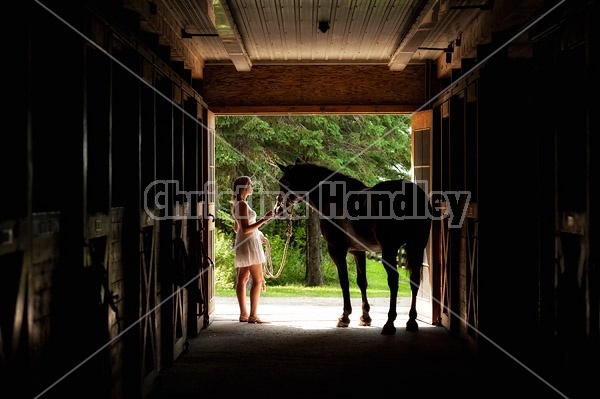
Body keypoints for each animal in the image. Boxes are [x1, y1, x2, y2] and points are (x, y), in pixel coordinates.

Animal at [276, 161, 432, 336]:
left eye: (284, 182)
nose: (278, 210)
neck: (334, 199)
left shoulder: (337, 250)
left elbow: (344, 282)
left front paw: (344, 317)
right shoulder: (358, 251)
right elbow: (361, 282)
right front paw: (365, 317)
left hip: (390, 250)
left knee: (394, 281)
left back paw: (389, 323)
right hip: (417, 246)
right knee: (415, 281)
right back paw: (411, 321)